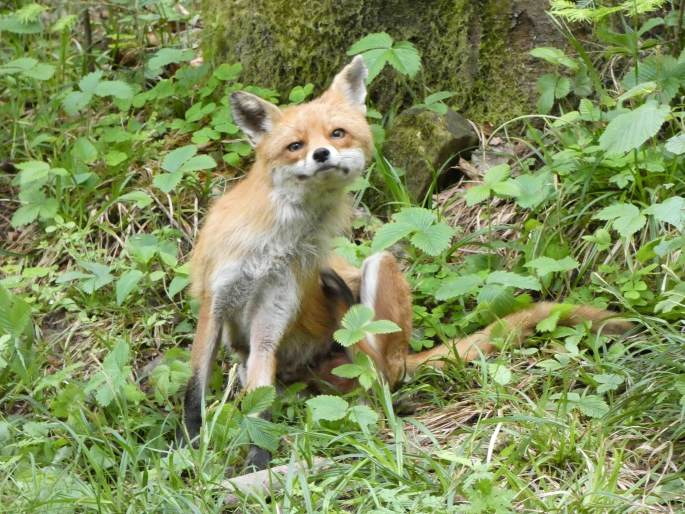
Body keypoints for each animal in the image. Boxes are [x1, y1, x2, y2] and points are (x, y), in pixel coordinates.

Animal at [182, 55, 632, 468]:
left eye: (337, 134)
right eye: (295, 146)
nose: (322, 154)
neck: (276, 243)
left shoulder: (273, 312)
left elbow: (258, 409)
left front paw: (256, 461)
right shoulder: (217, 298)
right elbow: (199, 385)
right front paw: (190, 444)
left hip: (379, 270)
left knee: (381, 372)